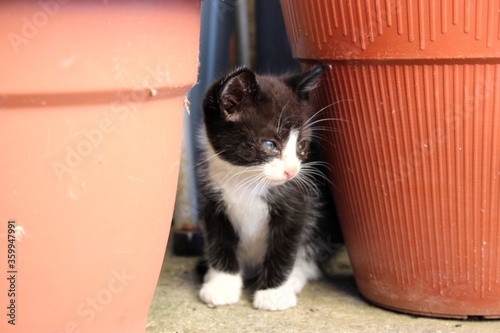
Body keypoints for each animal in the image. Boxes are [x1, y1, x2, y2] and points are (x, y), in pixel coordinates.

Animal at [197, 65, 338, 312]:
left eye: (301, 146)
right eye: (270, 145)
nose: (292, 171)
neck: (246, 179)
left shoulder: (296, 202)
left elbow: (284, 246)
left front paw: (274, 294)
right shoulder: (213, 201)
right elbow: (219, 241)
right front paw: (222, 284)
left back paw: (297, 276)